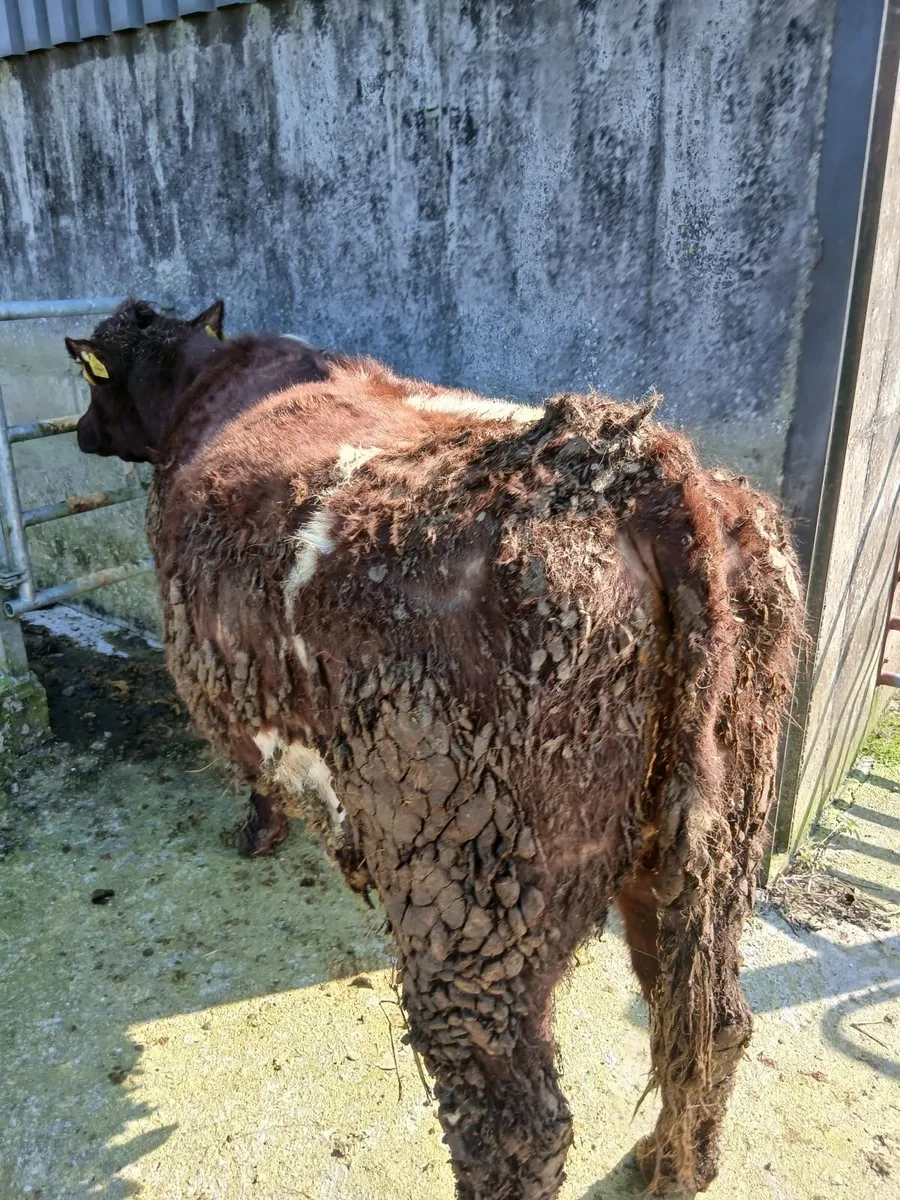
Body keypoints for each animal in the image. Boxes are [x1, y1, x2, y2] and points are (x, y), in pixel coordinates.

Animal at [66, 298, 802, 1200]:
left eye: (93, 382)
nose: (79, 433)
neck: (206, 383)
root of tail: (637, 466)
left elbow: (258, 774)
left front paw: (256, 832)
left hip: (472, 892)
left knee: (515, 1123)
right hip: (710, 844)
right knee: (711, 1020)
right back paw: (672, 1165)